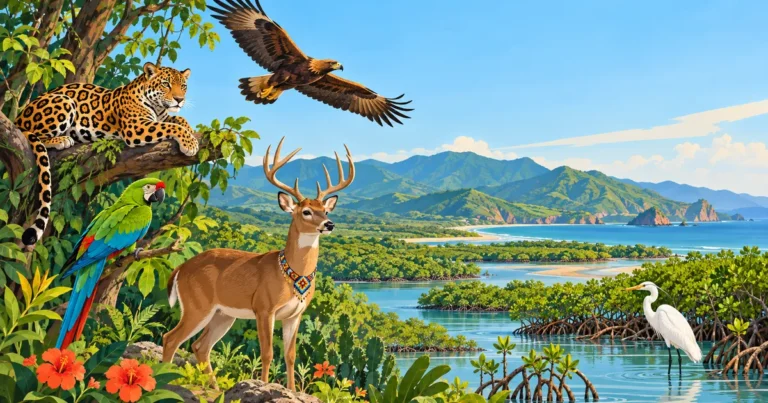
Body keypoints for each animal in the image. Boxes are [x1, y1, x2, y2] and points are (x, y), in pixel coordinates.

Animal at [15, 62, 199, 247]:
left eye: (183, 86)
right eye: (166, 84)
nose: (179, 100)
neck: (159, 108)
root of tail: (18, 117)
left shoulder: (163, 117)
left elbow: (180, 120)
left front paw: (191, 134)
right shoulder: (137, 127)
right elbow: (172, 127)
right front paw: (190, 143)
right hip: (63, 102)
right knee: (34, 133)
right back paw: (62, 139)